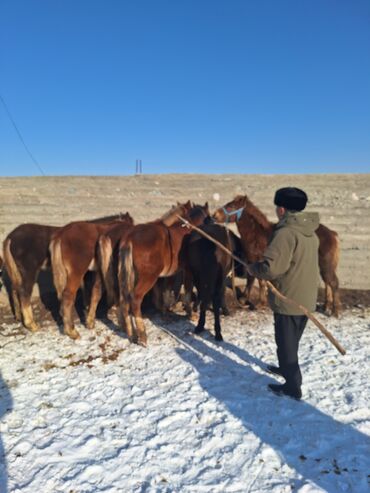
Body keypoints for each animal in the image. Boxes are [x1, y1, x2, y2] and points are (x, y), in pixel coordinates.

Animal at [119, 202, 211, 344]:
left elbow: (166, 291)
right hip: (148, 278)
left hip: (129, 277)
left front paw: (166, 313)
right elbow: (188, 291)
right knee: (135, 299)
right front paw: (190, 313)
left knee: (124, 300)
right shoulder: (188, 270)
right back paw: (142, 335)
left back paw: (132, 334)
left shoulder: (171, 274)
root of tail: (130, 238)